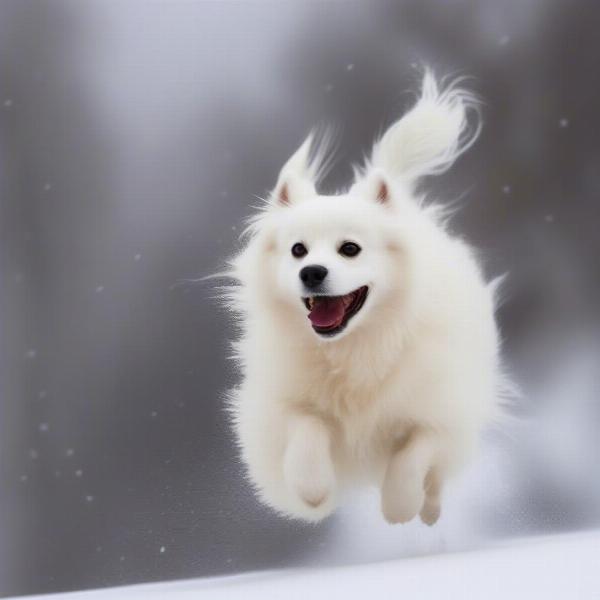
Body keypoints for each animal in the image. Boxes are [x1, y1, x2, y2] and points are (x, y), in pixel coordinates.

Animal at [225, 71, 506, 524]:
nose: (311, 272)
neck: (353, 348)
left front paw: (399, 505)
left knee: (437, 477)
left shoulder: (442, 410)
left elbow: (414, 452)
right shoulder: (275, 407)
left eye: (350, 249)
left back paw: (429, 511)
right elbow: (305, 428)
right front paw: (313, 488)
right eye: (297, 250)